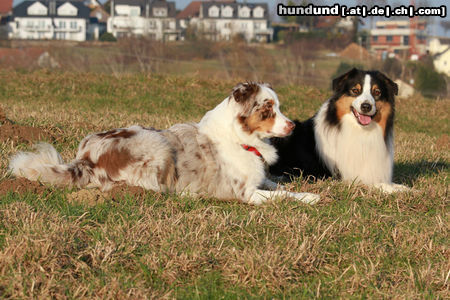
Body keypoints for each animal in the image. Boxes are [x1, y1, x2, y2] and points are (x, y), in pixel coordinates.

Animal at [9, 81, 320, 205]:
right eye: (268, 109)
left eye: (278, 107)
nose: (292, 125)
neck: (240, 138)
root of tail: (86, 157)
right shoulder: (246, 193)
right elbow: (283, 196)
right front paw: (309, 198)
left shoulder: (259, 180)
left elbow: (278, 185)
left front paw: (304, 191)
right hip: (157, 143)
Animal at [268, 69, 410, 193]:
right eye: (355, 90)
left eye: (377, 92)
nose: (366, 106)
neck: (360, 130)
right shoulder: (345, 177)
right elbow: (374, 183)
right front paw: (394, 190)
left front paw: (404, 188)